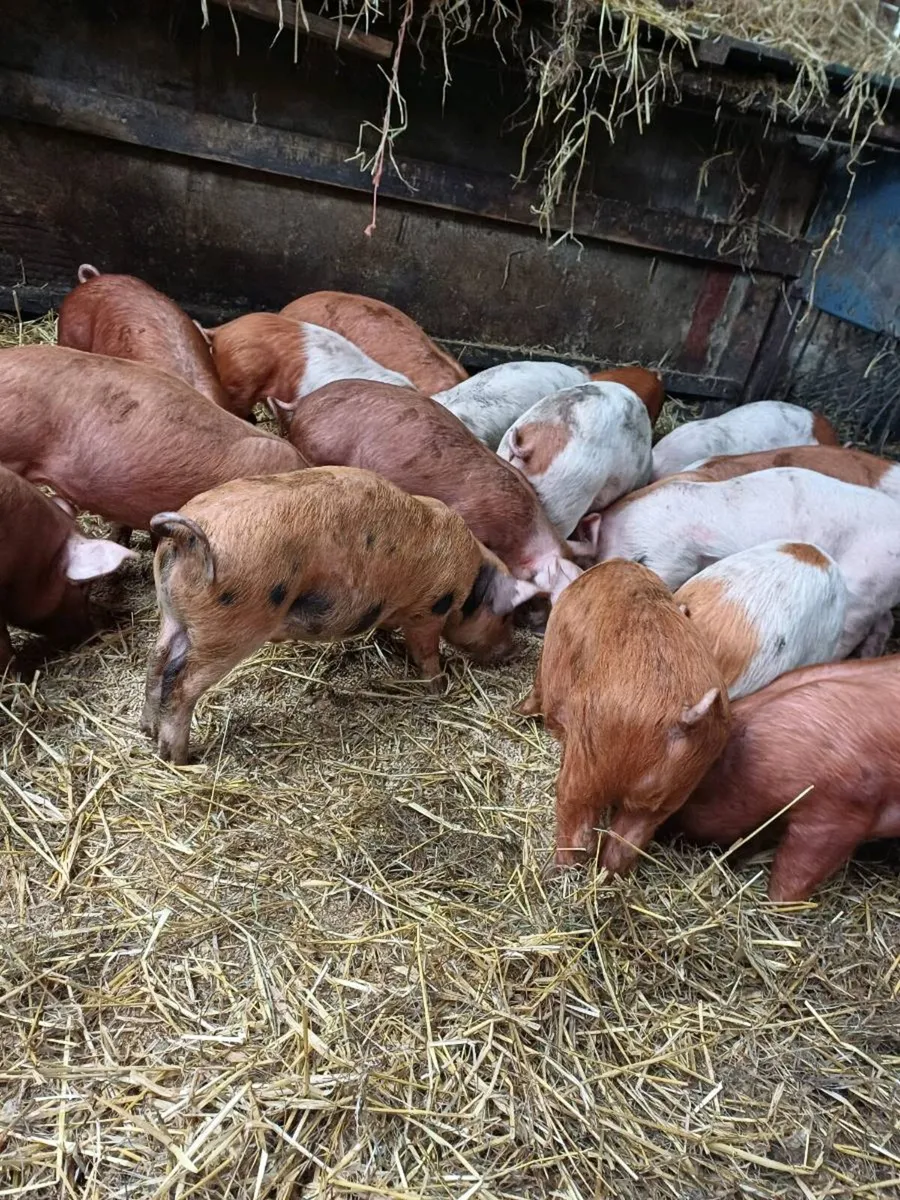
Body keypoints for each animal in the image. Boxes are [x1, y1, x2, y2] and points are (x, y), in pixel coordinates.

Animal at [142, 466, 538, 763]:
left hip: (173, 616)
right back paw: (180, 758)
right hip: (230, 627)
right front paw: (440, 688)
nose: (514, 651)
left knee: (157, 664)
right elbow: (426, 652)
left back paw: (147, 731)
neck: (467, 580)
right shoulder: (427, 611)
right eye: (506, 616)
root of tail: (184, 537)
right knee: (181, 682)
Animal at [517, 559, 729, 871]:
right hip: (665, 799)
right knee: (624, 847)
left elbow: (537, 691)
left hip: (587, 765)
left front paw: (517, 712)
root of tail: (685, 717)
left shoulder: (551, 658)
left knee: (577, 823)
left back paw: (558, 868)